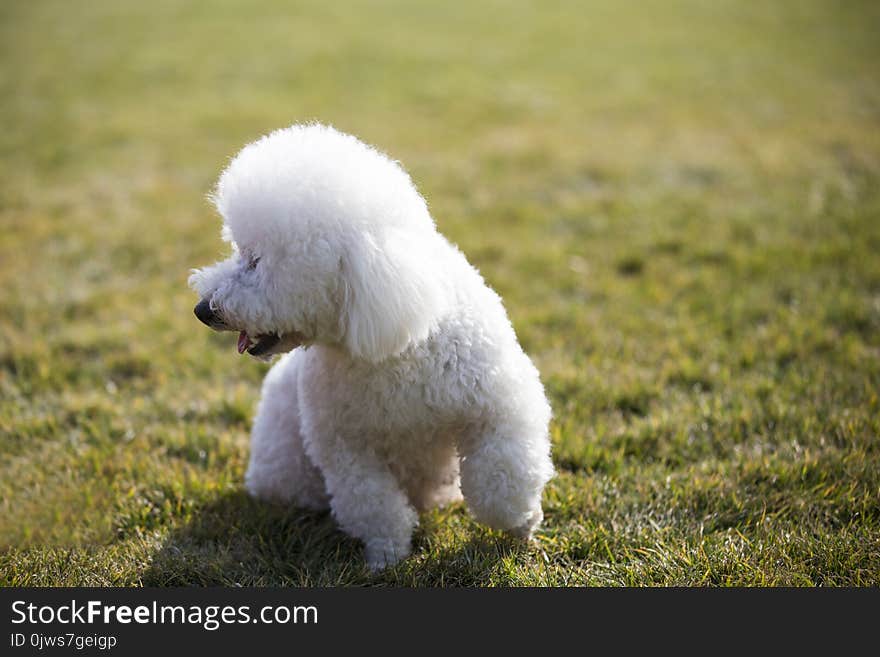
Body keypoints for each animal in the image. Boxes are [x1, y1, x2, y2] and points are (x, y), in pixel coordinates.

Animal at [189, 124, 552, 568]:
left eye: (256, 260)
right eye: (239, 250)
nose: (203, 310)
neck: (395, 344)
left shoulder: (497, 406)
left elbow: (503, 479)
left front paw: (521, 525)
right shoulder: (346, 447)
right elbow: (373, 503)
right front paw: (386, 557)